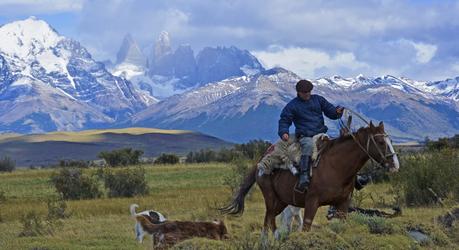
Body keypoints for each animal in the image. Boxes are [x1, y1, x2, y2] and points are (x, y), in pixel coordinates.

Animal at [221, 121, 400, 234]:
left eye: (390, 140)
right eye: (380, 141)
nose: (395, 164)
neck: (337, 167)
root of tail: (260, 162)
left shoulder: (343, 205)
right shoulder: (311, 202)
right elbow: (306, 228)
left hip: (282, 201)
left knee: (271, 222)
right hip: (271, 199)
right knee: (269, 224)